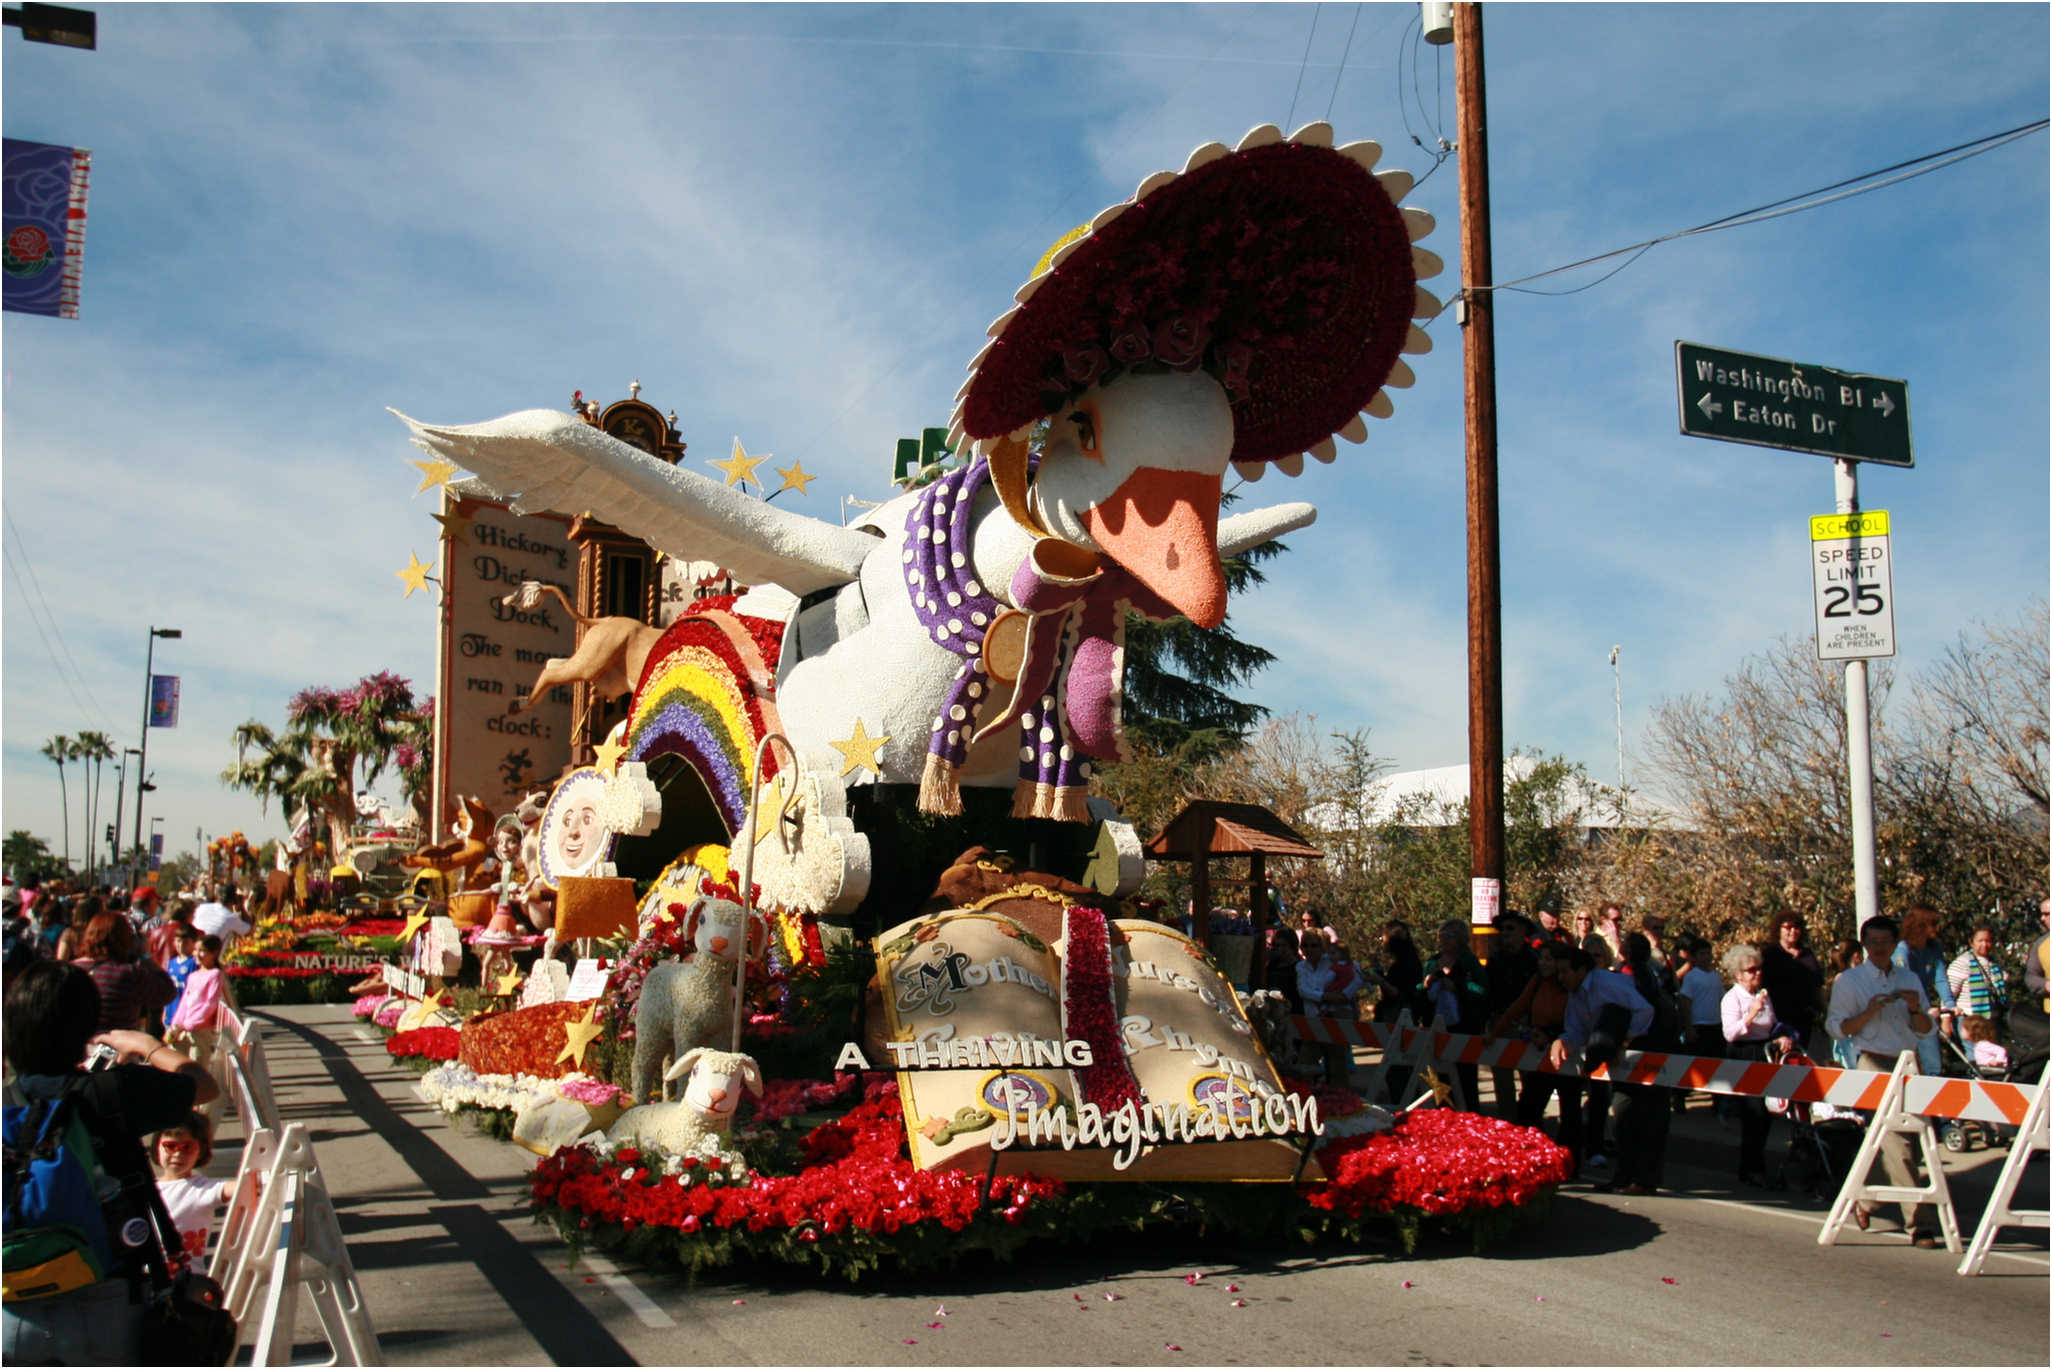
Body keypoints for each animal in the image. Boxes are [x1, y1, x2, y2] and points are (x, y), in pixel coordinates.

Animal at [623, 894, 771, 1108]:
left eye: (743, 930)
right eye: (702, 919)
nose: (718, 942)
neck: (704, 991)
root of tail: (657, 969)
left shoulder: (722, 1033)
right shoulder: (688, 1030)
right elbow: (687, 1067)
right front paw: (686, 1097)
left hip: (670, 1030)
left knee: (668, 1064)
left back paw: (668, 1100)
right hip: (650, 1026)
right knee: (642, 1064)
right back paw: (639, 1102)